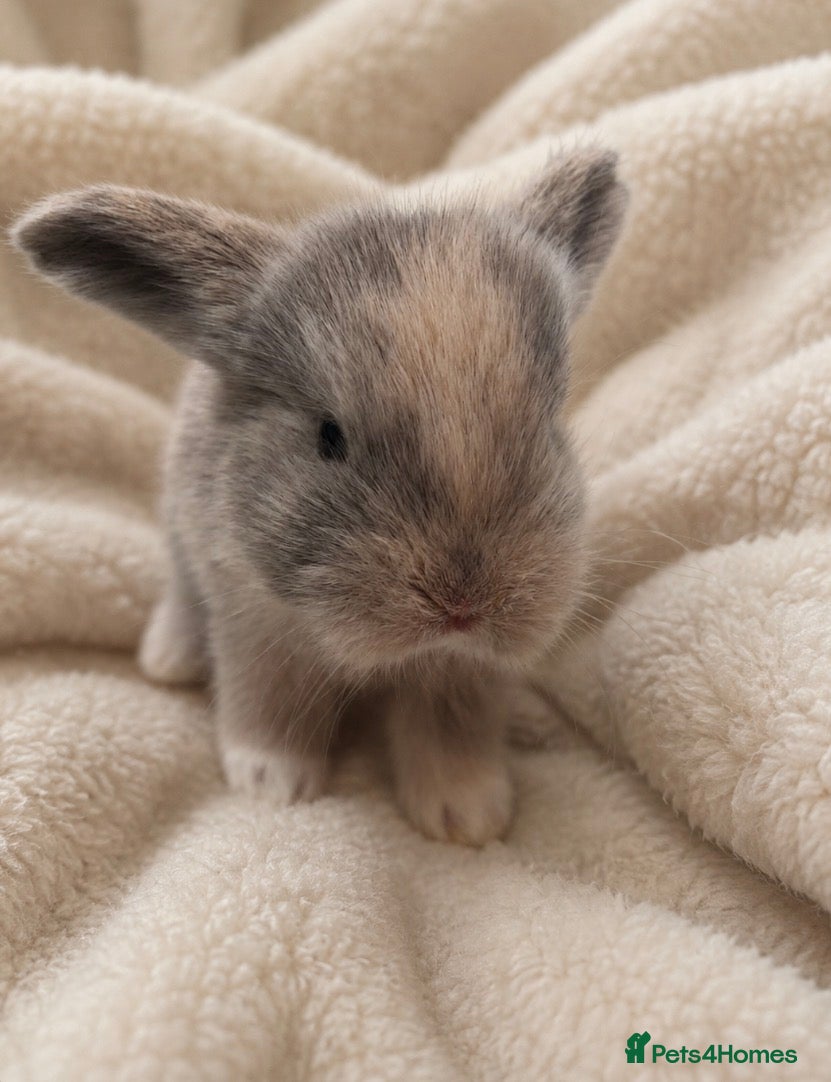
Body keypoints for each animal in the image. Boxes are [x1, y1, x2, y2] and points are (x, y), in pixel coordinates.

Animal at [12, 147, 626, 844]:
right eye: (328, 436)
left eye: (548, 427)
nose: (462, 605)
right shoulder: (255, 622)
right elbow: (268, 704)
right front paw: (270, 784)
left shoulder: (460, 671)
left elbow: (451, 725)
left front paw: (468, 817)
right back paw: (168, 658)